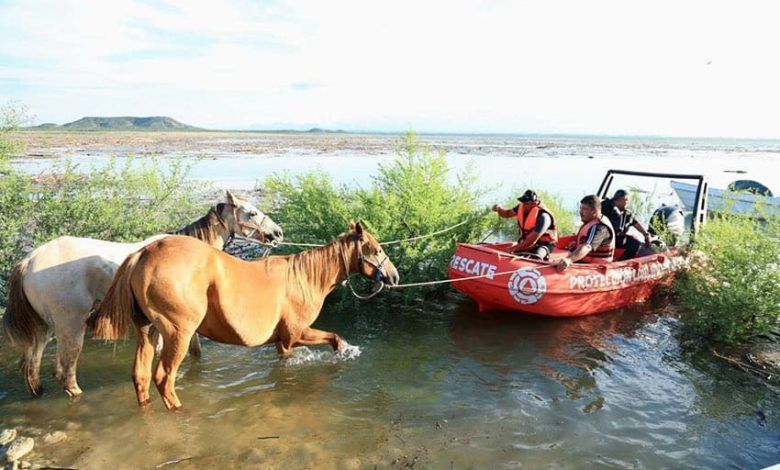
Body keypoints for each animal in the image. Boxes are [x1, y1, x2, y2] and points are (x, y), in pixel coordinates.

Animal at [3, 190, 283, 398]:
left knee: (31, 366)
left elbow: (187, 352)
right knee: (65, 372)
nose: (278, 233)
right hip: (70, 326)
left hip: (45, 328)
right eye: (252, 212)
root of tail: (28, 262)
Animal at [92, 221, 399, 411]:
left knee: (141, 376)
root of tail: (143, 253)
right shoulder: (296, 334)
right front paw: (344, 353)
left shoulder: (283, 343)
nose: (394, 276)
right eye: (376, 249)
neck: (305, 278)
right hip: (178, 334)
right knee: (163, 378)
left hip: (148, 331)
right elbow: (335, 338)